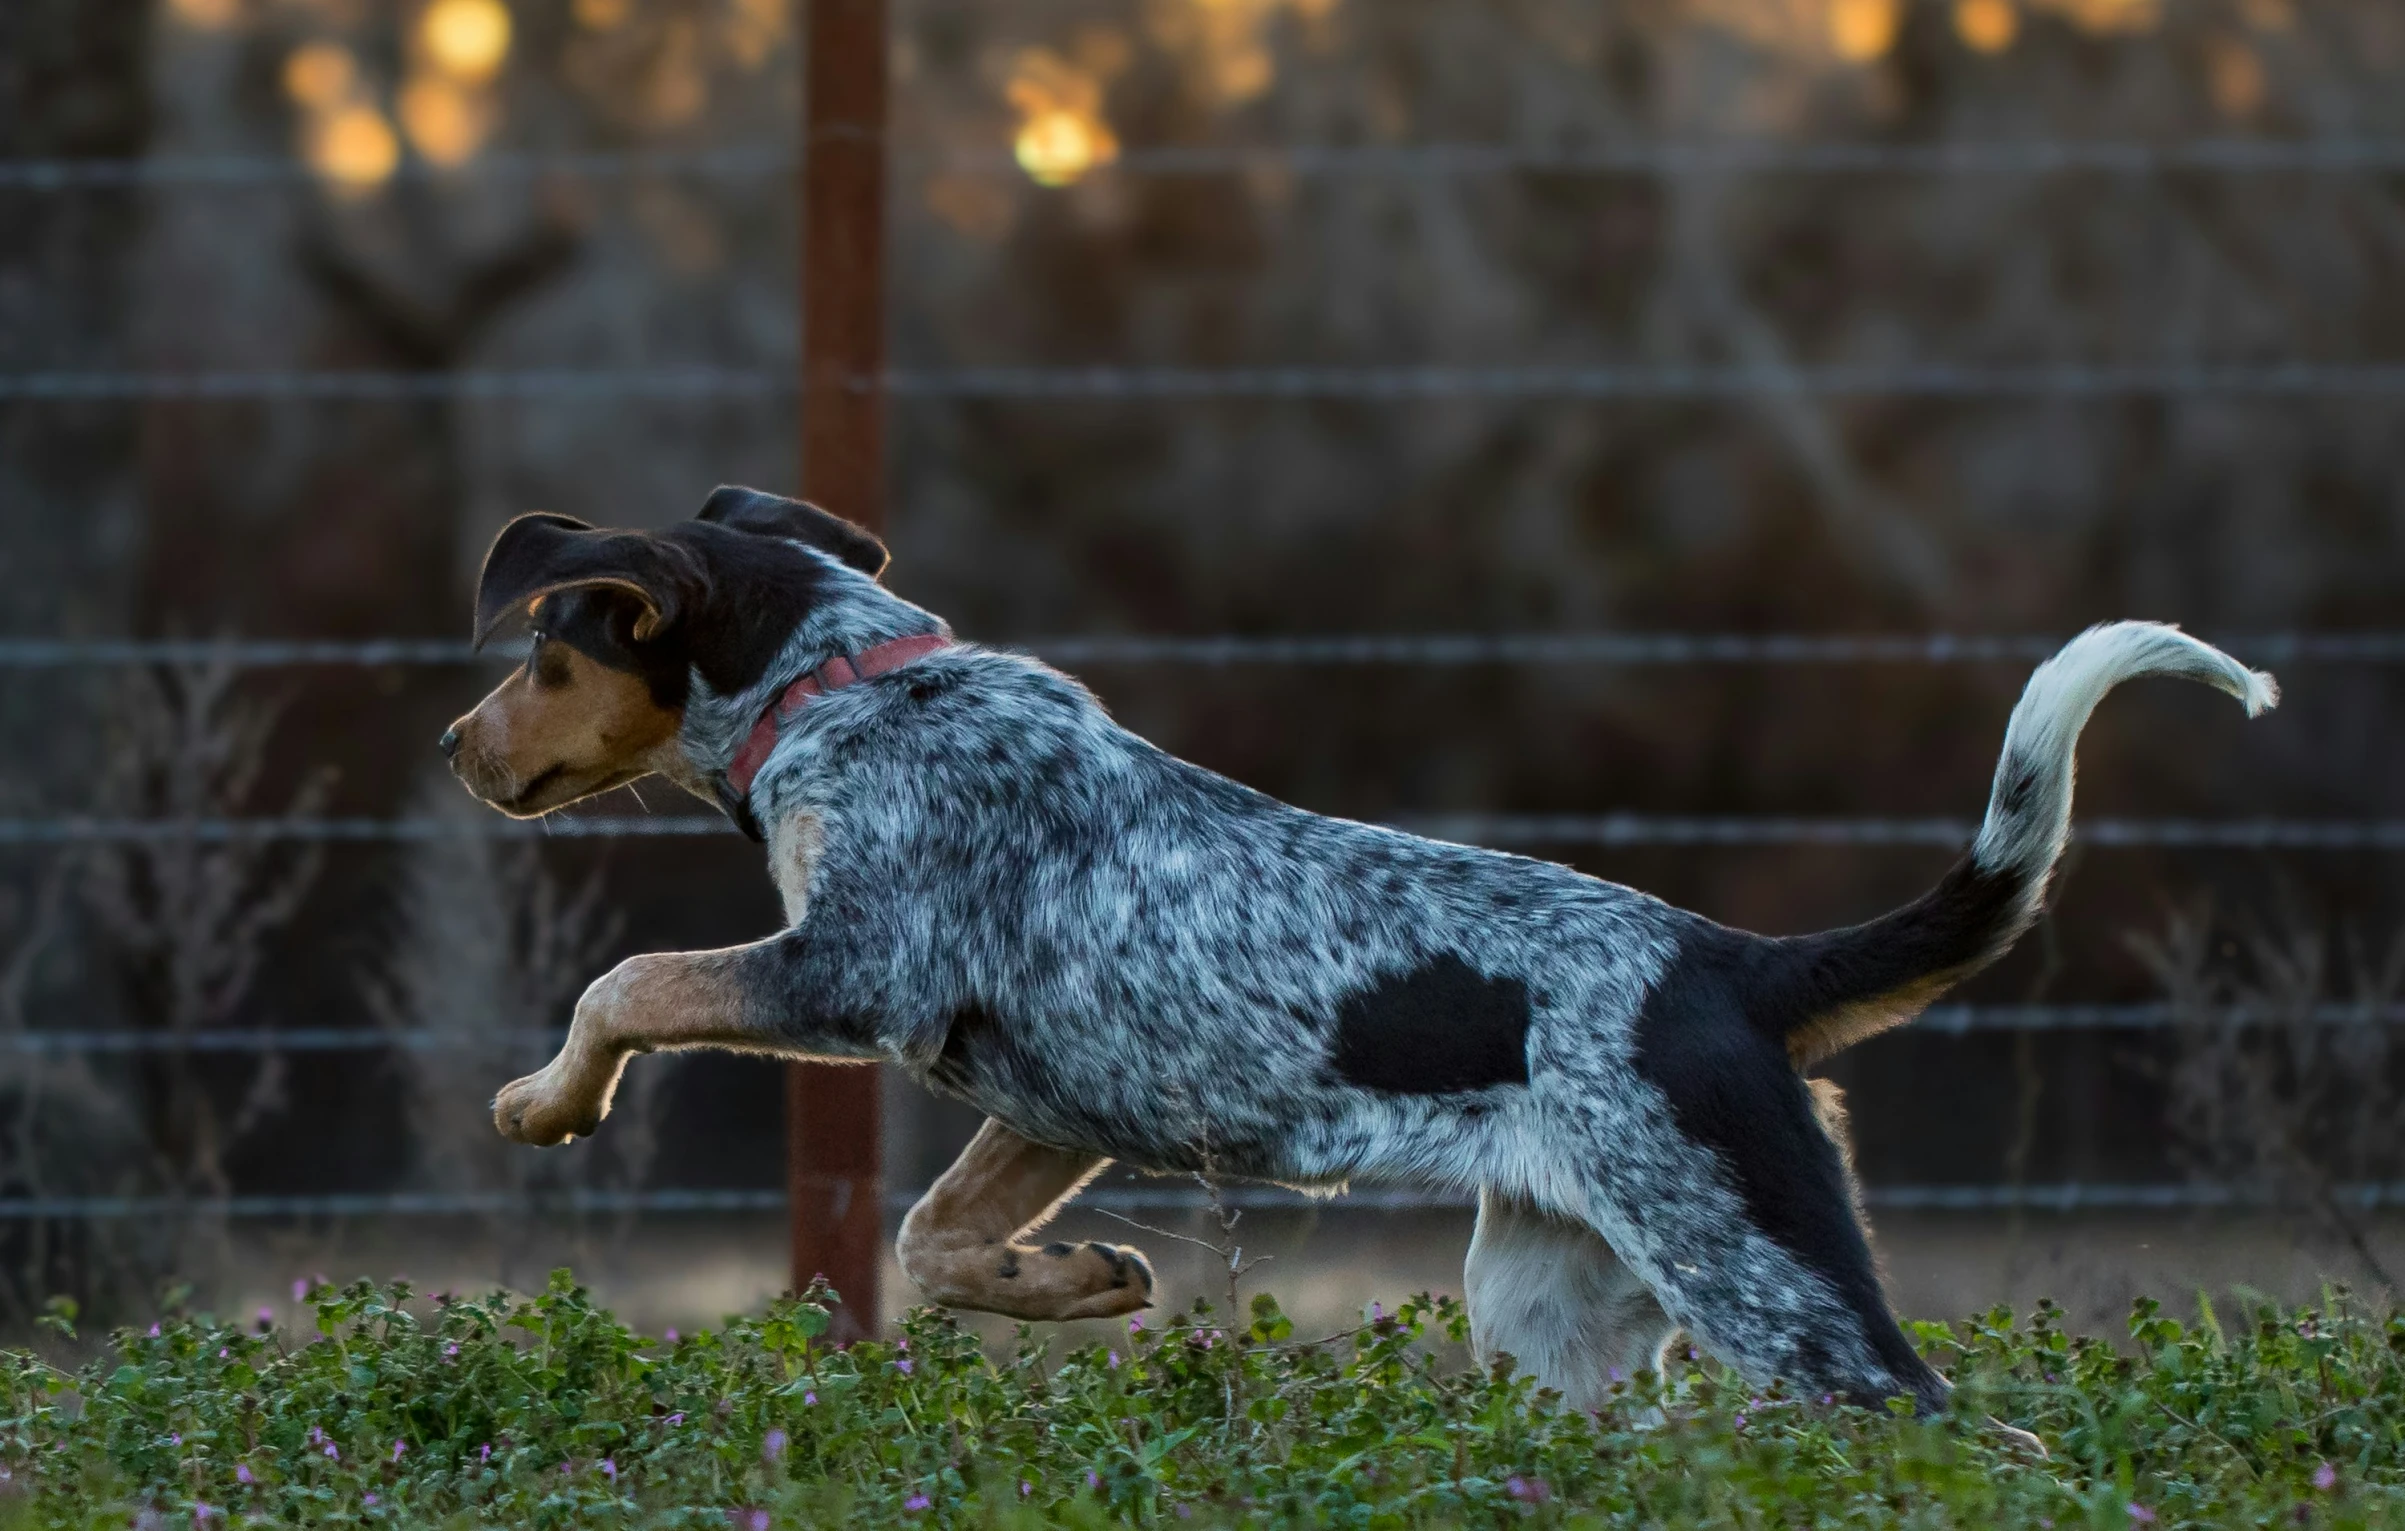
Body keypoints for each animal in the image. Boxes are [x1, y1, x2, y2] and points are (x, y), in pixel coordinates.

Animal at [447, 483, 2270, 1413]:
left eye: (546, 650)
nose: (457, 748)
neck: (844, 687)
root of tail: (1730, 966)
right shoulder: (1031, 1093)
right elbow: (930, 1235)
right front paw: (1074, 1281)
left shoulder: (855, 973)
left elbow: (626, 987)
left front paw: (546, 1103)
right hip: (1554, 1314)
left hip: (1775, 1290)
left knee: (1955, 1435)